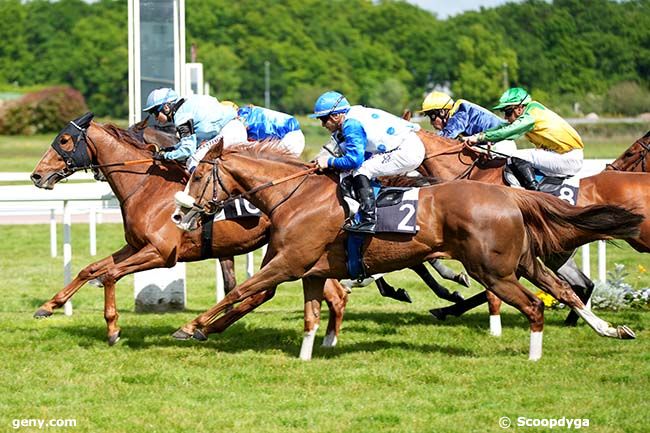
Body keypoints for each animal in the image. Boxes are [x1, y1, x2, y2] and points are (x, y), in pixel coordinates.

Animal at [29, 115, 350, 344]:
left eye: (65, 140)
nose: (36, 175)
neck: (145, 186)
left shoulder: (161, 254)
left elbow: (109, 275)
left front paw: (112, 329)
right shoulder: (135, 246)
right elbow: (91, 269)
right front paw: (48, 306)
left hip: (293, 249)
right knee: (317, 292)